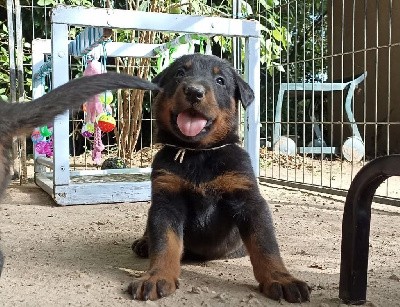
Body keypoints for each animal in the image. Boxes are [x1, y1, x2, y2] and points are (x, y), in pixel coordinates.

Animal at [130, 54, 310, 304]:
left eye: (220, 80)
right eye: (179, 73)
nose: (194, 91)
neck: (198, 154)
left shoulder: (248, 198)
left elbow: (265, 245)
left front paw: (281, 279)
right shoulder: (166, 199)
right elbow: (164, 242)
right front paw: (156, 277)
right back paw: (143, 243)